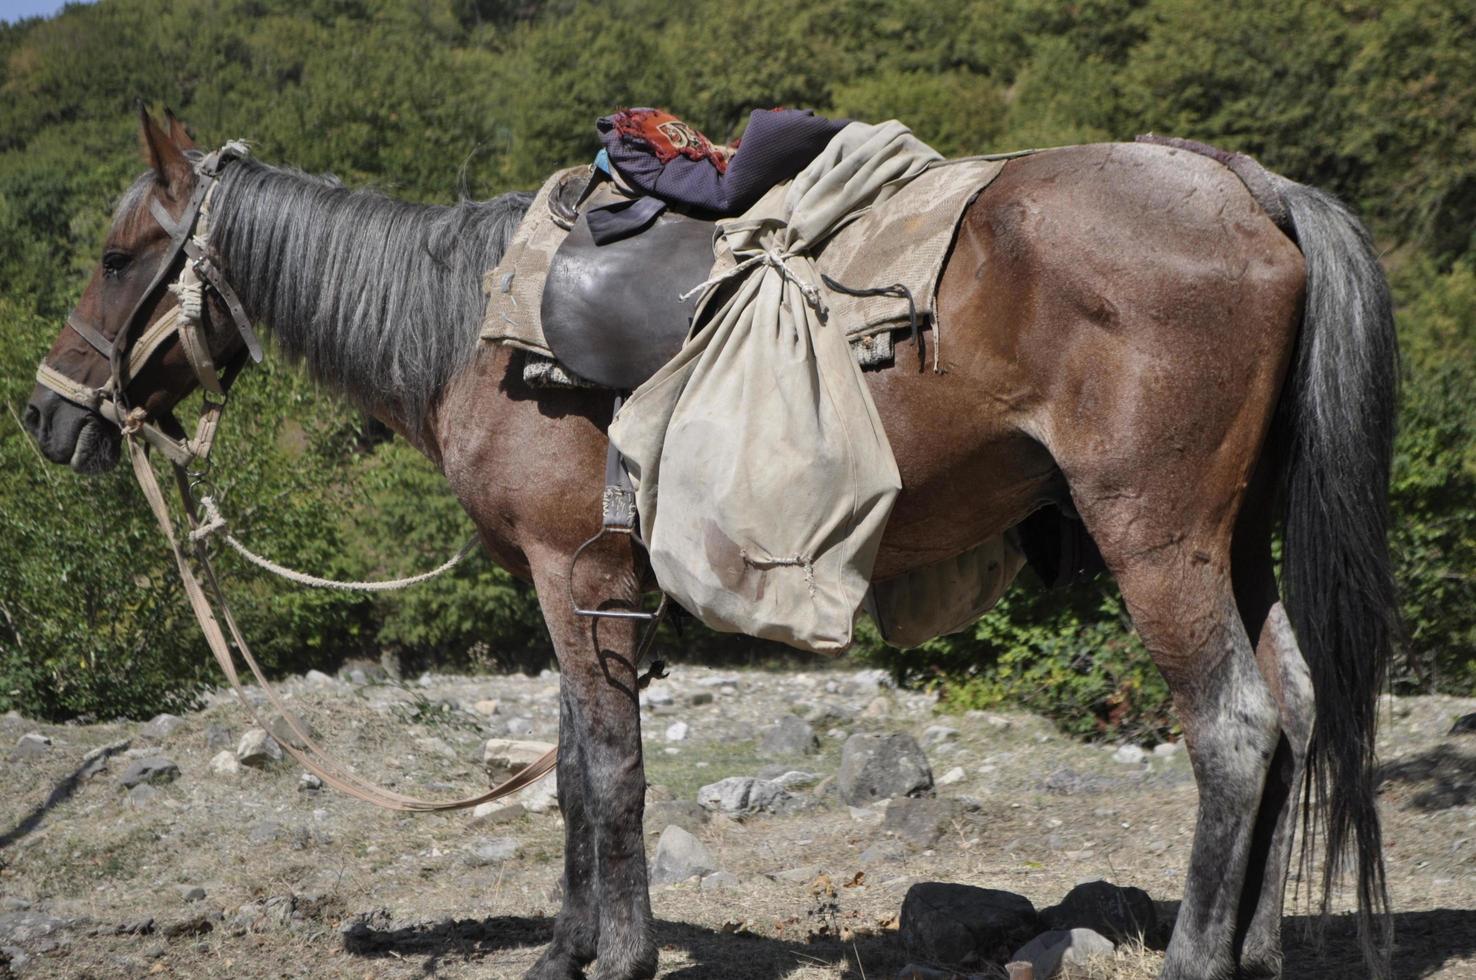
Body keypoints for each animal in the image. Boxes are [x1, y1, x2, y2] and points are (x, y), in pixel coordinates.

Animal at [23, 109, 1393, 980]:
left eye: (119, 256)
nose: (49, 413)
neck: (472, 326)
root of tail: (1246, 186)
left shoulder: (574, 576)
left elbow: (611, 772)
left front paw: (619, 953)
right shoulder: (583, 590)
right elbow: (579, 774)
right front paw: (565, 948)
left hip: (1154, 536)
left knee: (1233, 724)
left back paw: (1201, 955)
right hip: (1235, 537)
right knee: (1296, 705)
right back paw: (1259, 946)